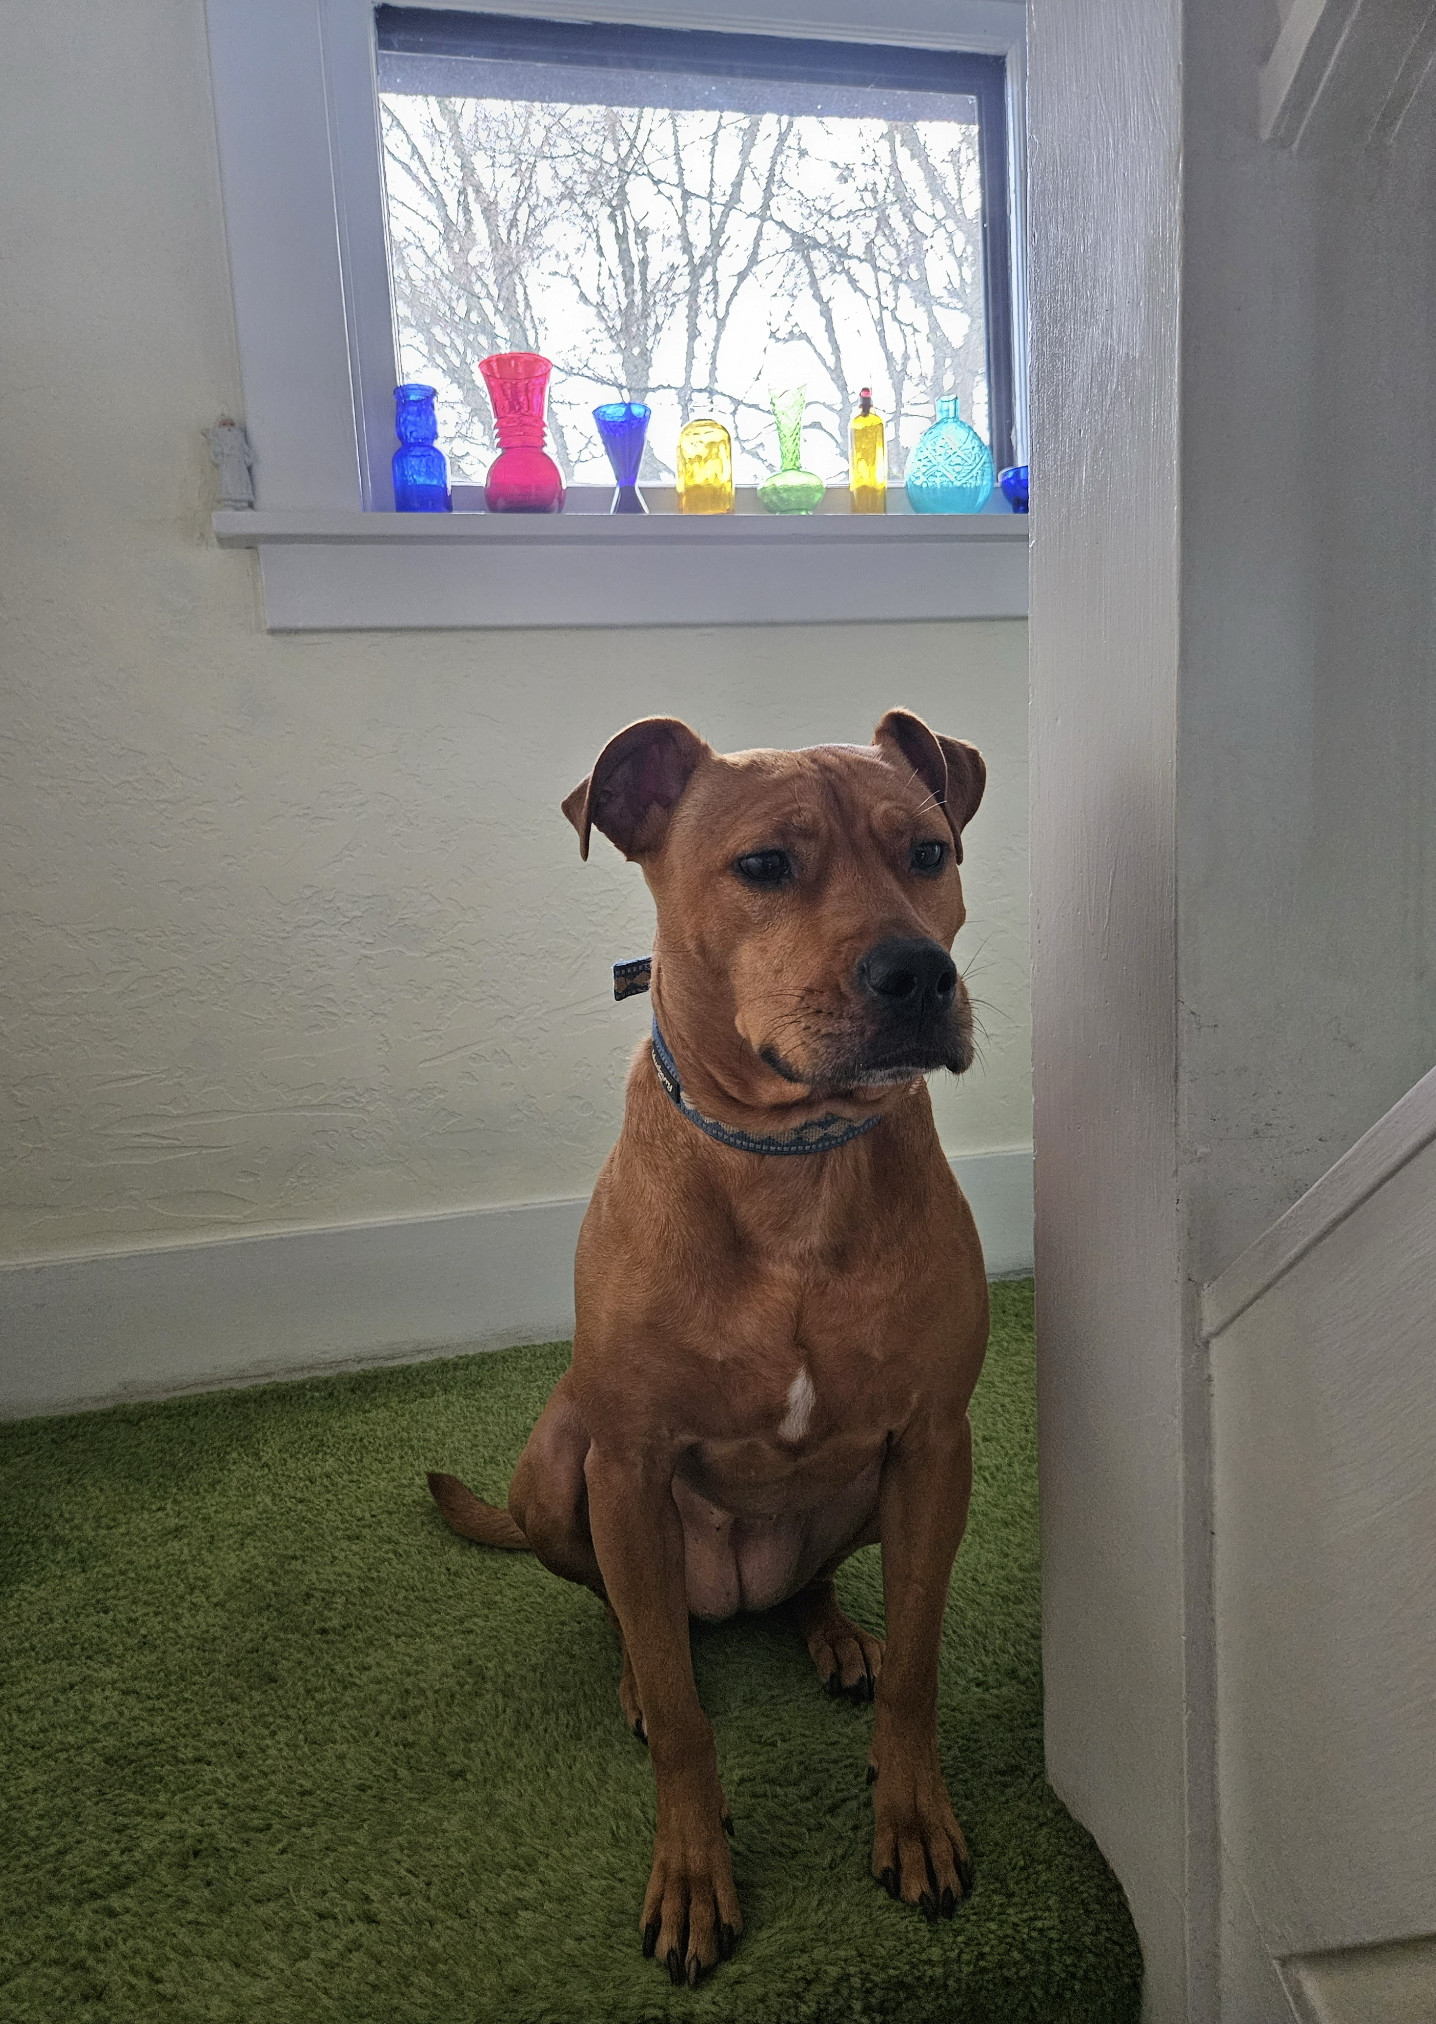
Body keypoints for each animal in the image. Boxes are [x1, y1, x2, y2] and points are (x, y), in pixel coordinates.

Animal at [425, 708, 984, 1975]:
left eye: (927, 852)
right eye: (763, 865)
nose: (917, 971)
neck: (792, 1169)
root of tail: (731, 1592)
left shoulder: (935, 1445)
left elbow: (920, 1665)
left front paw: (910, 1812)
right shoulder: (627, 1463)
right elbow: (687, 1721)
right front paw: (690, 1869)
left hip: (863, 1497)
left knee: (806, 1586)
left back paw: (833, 1633)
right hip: (559, 1468)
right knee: (633, 1614)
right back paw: (642, 1669)